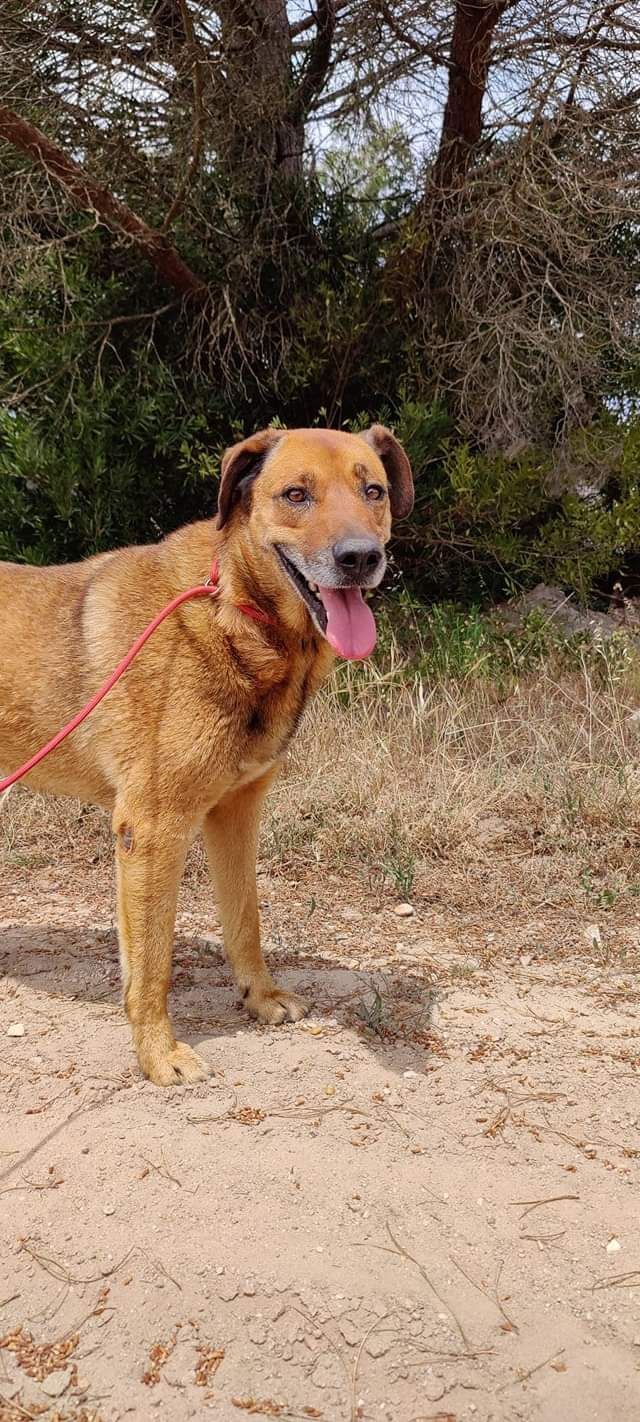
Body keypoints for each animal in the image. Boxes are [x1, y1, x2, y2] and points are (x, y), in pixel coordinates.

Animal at [0, 426, 415, 1080]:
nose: (360, 559)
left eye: (372, 490)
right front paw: (157, 1052)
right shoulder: (152, 829)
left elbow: (243, 921)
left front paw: (259, 998)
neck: (233, 611)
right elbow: (153, 965)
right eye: (296, 494)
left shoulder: (235, 814)